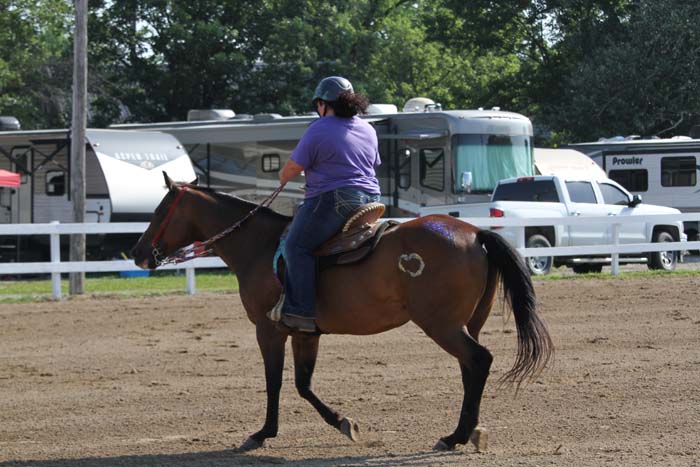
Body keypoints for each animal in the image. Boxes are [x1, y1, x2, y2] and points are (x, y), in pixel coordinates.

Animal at [130, 172, 553, 453]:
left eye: (161, 210)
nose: (136, 253)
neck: (261, 247)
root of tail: (476, 234)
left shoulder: (268, 331)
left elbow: (275, 382)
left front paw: (262, 433)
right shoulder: (305, 332)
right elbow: (303, 384)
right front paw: (344, 423)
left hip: (442, 325)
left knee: (478, 361)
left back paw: (456, 436)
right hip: (468, 323)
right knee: (471, 368)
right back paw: (472, 431)